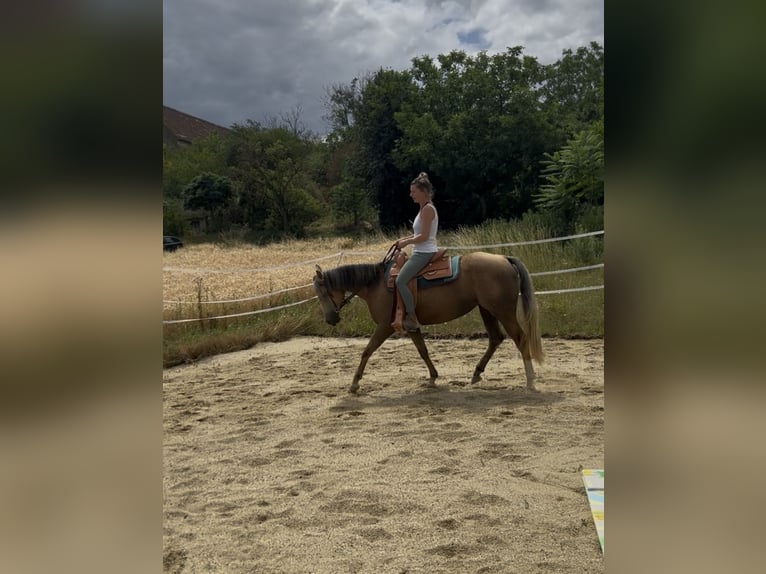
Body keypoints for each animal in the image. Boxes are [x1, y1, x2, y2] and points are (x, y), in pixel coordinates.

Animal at [312, 247, 544, 394]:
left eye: (323, 293)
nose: (330, 319)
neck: (375, 284)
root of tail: (504, 258)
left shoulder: (385, 326)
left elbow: (367, 351)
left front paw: (354, 384)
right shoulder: (411, 326)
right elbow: (422, 350)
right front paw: (433, 377)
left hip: (503, 312)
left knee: (520, 338)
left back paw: (530, 381)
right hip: (486, 310)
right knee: (496, 338)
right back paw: (476, 373)